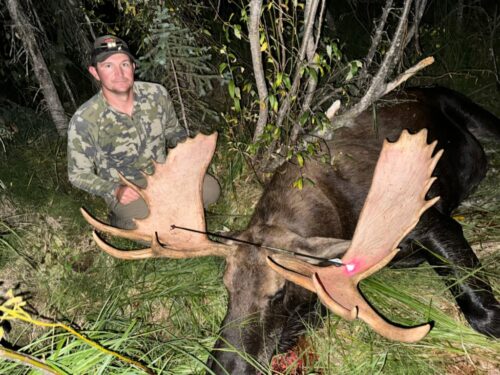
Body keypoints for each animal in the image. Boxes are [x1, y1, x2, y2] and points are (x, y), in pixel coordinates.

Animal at [82, 87, 500, 374]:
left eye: (279, 293)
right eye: (226, 287)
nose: (227, 368)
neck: (335, 208)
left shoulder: (429, 218)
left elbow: (479, 308)